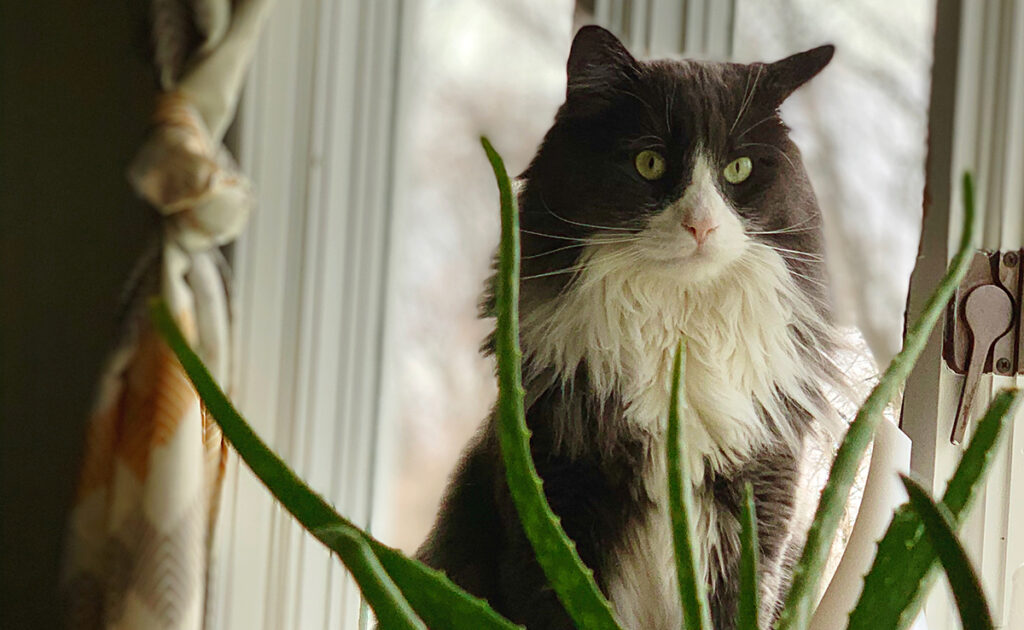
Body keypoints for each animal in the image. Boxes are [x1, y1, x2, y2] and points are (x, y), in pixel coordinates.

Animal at [411, 24, 843, 630]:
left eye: (738, 170)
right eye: (649, 163)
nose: (701, 226)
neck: (677, 338)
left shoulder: (761, 510)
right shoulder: (553, 508)